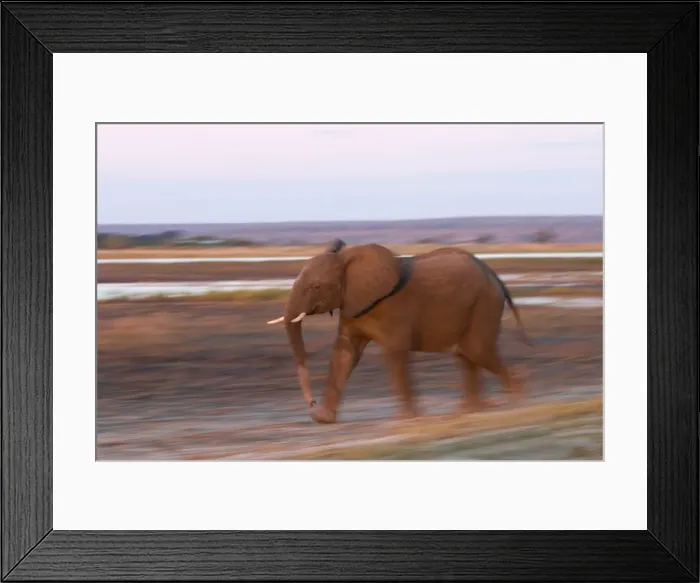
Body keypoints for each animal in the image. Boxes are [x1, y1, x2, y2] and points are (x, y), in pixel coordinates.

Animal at [266, 238, 532, 424]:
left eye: (315, 286)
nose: (310, 404)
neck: (347, 258)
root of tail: (495, 275)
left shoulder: (393, 309)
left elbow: (394, 353)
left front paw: (406, 420)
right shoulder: (353, 306)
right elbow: (344, 352)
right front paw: (322, 419)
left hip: (485, 302)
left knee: (476, 350)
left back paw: (517, 400)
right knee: (465, 354)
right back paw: (469, 410)